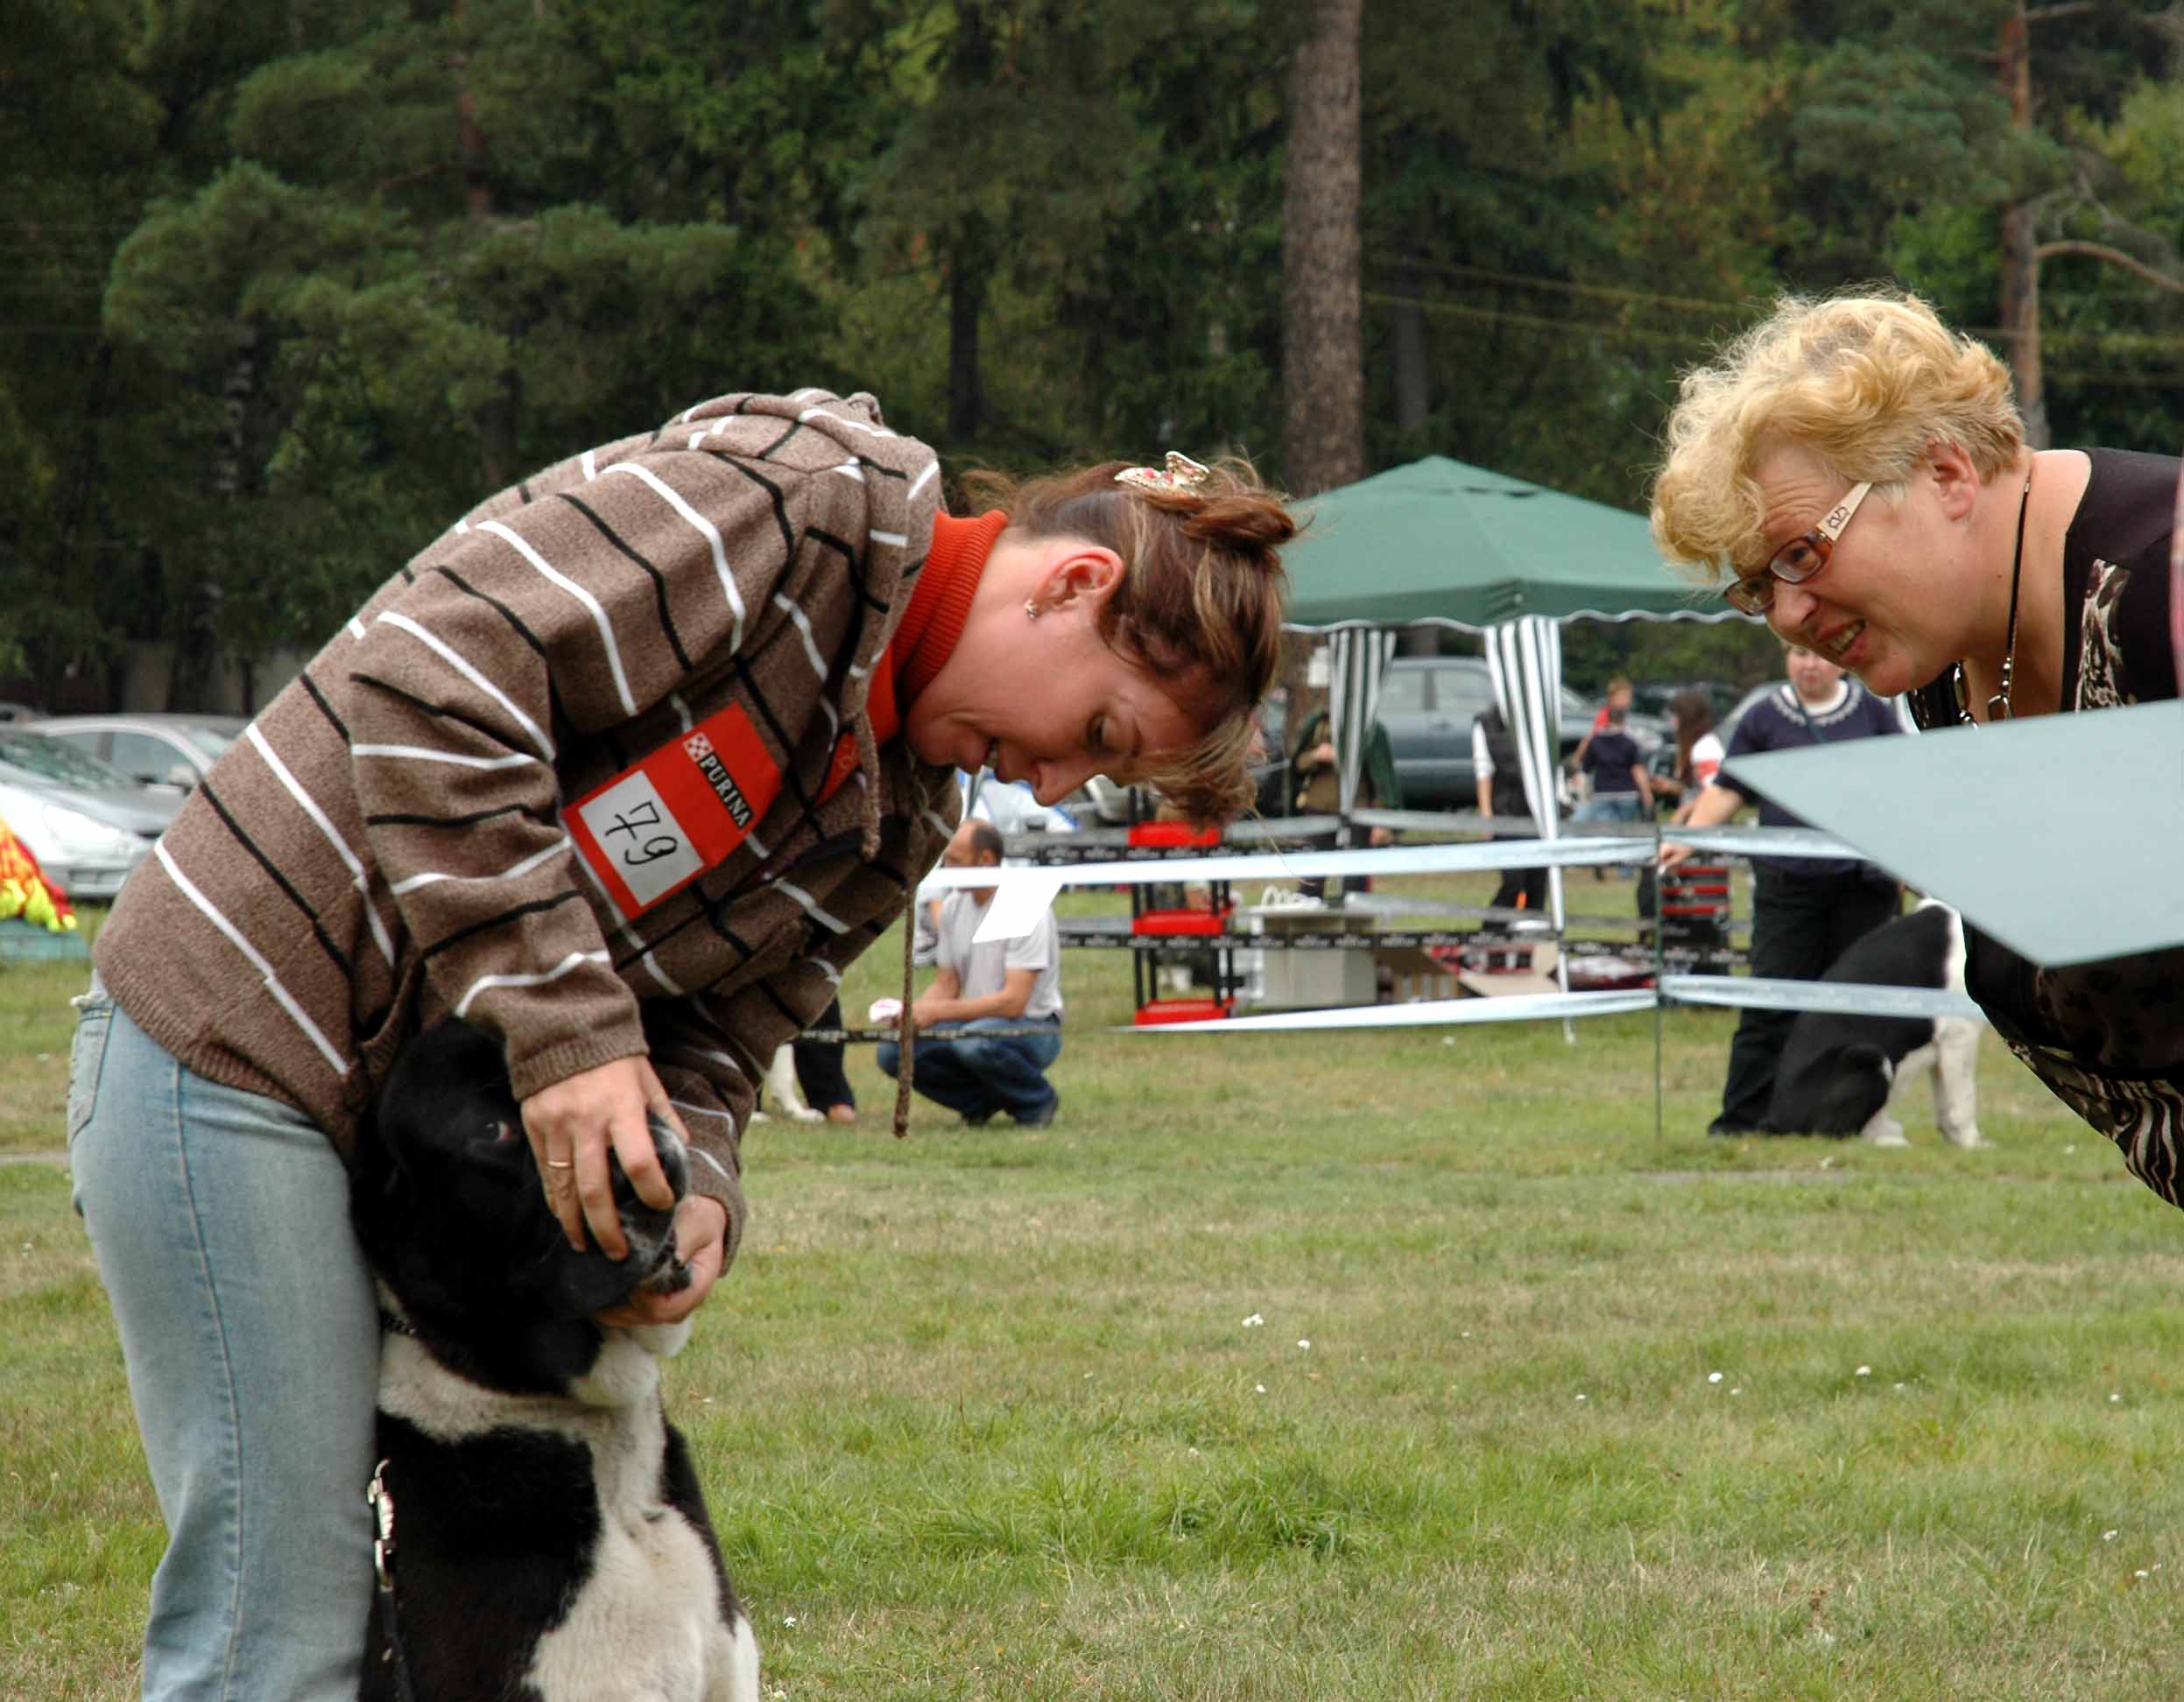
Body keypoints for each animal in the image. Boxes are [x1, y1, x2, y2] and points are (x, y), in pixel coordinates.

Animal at [1765, 900, 1991, 1153]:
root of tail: (1777, 1121)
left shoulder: (1943, 1048)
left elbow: (1946, 1107)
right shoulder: (1960, 1033)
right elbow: (1965, 1102)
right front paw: (1973, 1146)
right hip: (1868, 1055)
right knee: (1830, 1134)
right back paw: (1891, 1144)